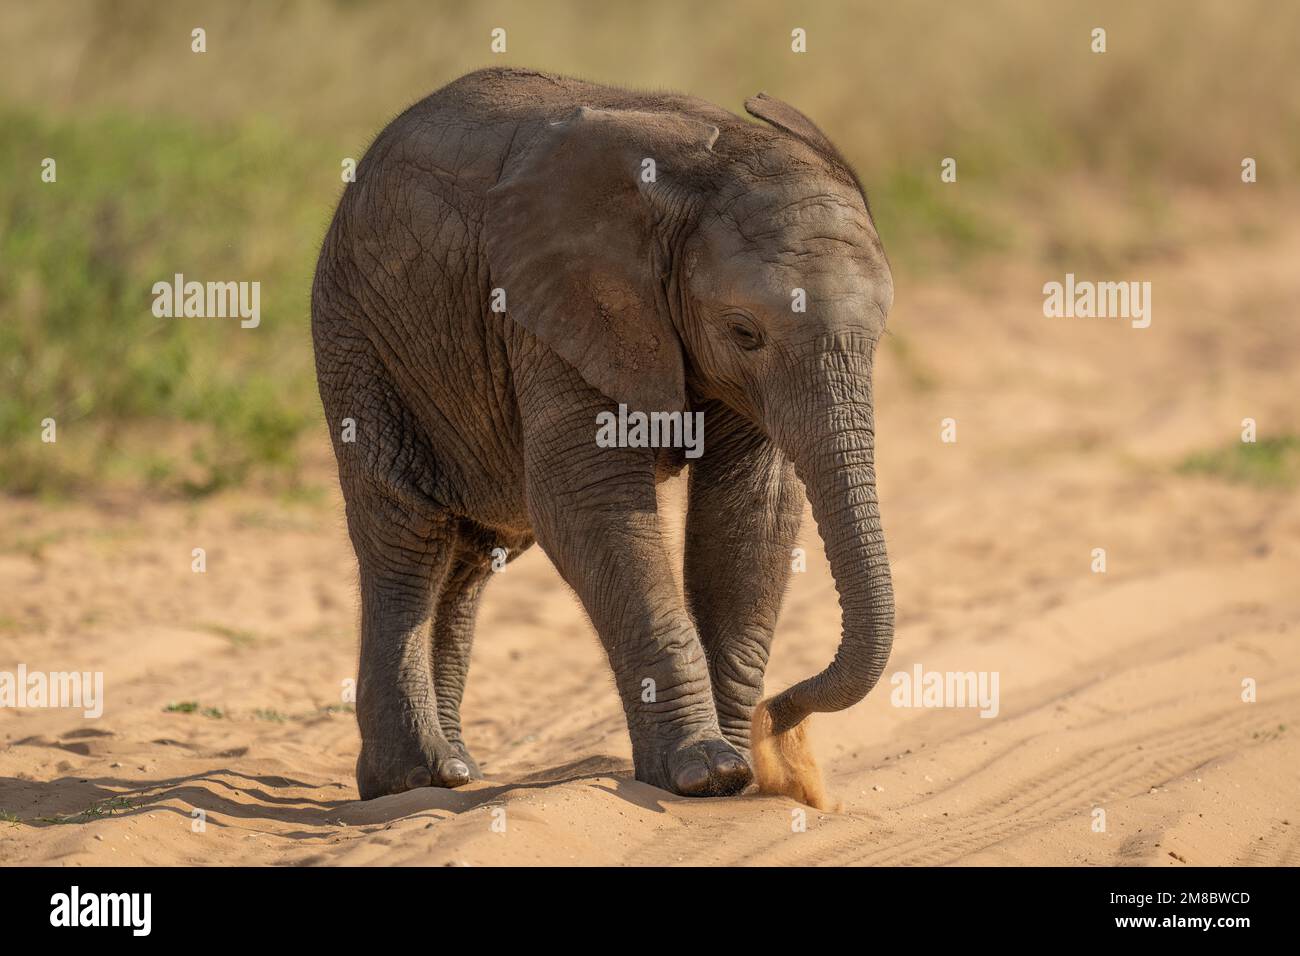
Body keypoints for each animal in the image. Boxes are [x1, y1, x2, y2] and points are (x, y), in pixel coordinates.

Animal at [311, 67, 895, 801]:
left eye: (880, 330)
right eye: (744, 332)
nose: (781, 727)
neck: (707, 171)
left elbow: (748, 514)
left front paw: (736, 767)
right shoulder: (551, 306)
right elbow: (590, 506)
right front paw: (706, 774)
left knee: (475, 551)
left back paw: (457, 770)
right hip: (360, 337)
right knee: (409, 534)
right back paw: (414, 778)